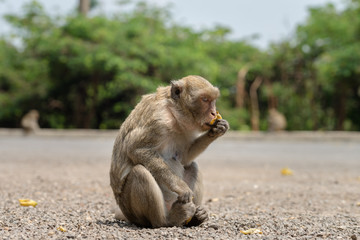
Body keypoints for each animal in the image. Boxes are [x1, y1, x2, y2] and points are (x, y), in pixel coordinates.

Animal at [109, 76, 229, 228]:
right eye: (204, 99)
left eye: (212, 100)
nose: (214, 112)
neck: (174, 112)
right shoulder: (158, 120)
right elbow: (136, 149)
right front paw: (181, 187)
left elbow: (184, 158)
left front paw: (217, 130)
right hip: (133, 211)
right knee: (140, 172)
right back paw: (168, 219)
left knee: (192, 165)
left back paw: (196, 217)